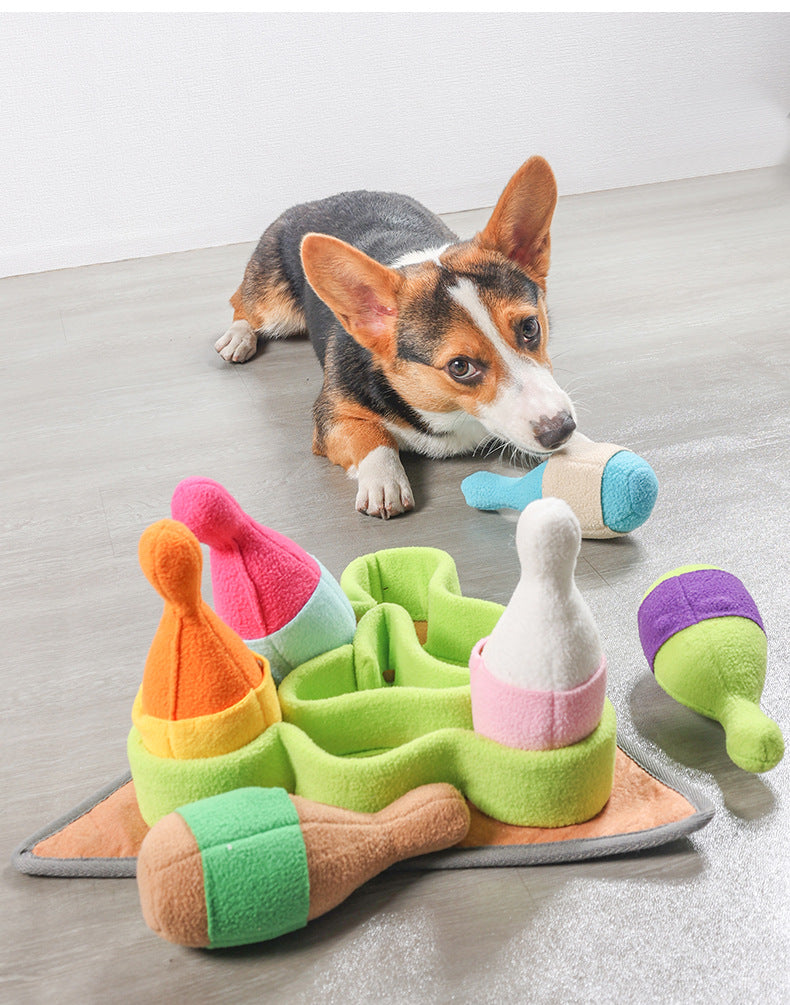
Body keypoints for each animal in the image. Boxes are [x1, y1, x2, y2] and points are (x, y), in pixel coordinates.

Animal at [214, 158, 570, 518]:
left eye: (530, 328)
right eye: (459, 367)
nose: (562, 429)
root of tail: (316, 201)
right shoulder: (331, 416)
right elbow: (371, 435)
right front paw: (384, 482)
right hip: (275, 310)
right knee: (240, 302)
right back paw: (237, 338)